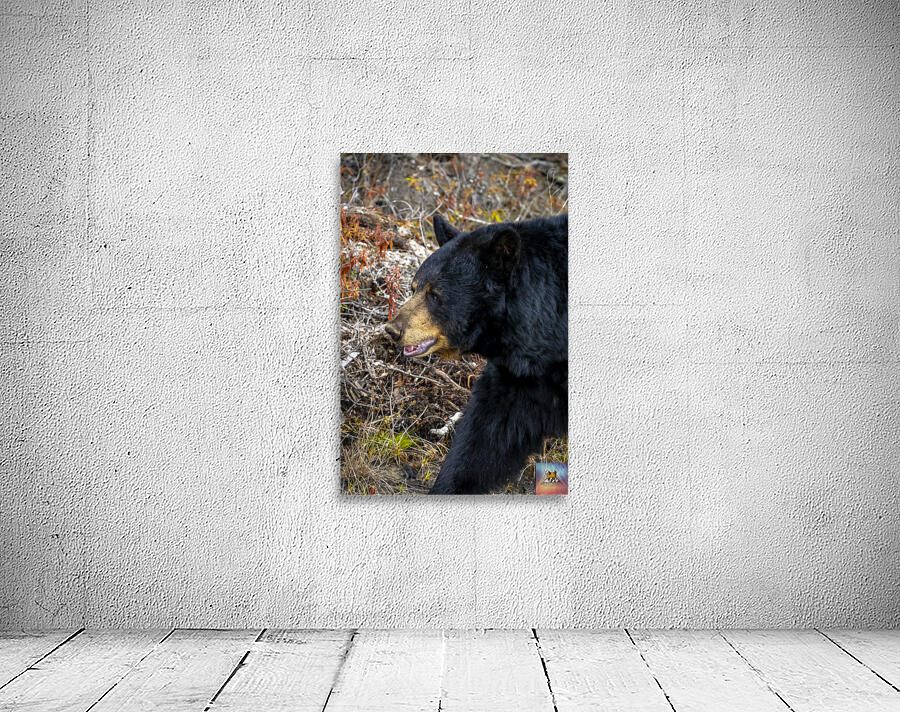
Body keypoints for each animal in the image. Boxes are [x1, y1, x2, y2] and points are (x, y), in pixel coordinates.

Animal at [384, 212, 568, 494]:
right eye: (414, 287)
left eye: (435, 294)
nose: (393, 329)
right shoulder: (523, 376)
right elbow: (489, 432)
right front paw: (449, 486)